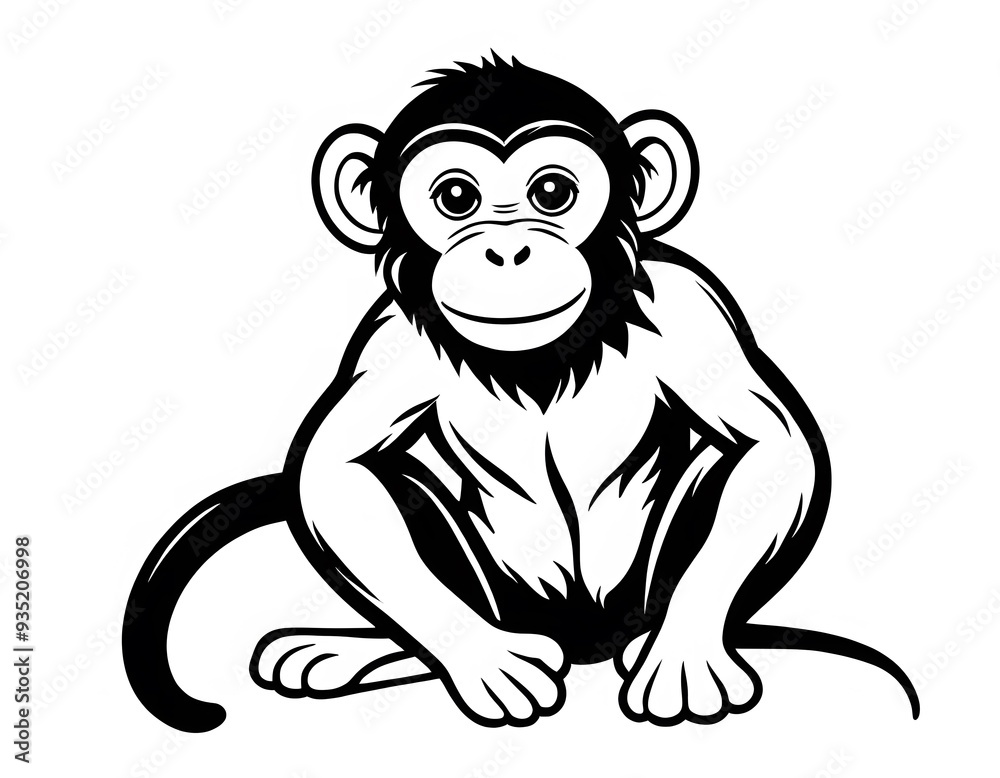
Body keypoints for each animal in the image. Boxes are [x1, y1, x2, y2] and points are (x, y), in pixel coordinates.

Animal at [123, 55, 918, 733]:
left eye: (553, 192)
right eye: (456, 197)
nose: (508, 250)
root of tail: (584, 644)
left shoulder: (690, 305)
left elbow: (771, 448)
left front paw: (687, 648)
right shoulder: (390, 341)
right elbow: (335, 470)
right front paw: (481, 659)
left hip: (635, 600)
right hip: (503, 600)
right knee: (404, 488)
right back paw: (372, 650)